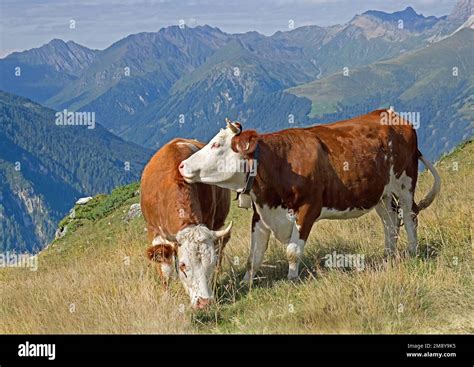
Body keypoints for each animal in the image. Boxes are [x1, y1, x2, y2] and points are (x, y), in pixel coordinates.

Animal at [140, 139, 232, 310]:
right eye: (183, 265)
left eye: (210, 261)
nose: (205, 303)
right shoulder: (154, 231)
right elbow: (165, 269)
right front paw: (166, 297)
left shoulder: (209, 221)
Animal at [177, 110, 440, 284]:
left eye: (216, 145)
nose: (182, 165)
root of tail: (391, 114)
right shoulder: (260, 214)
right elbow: (254, 256)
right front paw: (245, 283)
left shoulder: (308, 208)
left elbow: (292, 250)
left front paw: (292, 279)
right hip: (380, 194)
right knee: (391, 222)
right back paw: (388, 255)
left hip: (405, 183)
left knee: (410, 216)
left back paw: (413, 251)